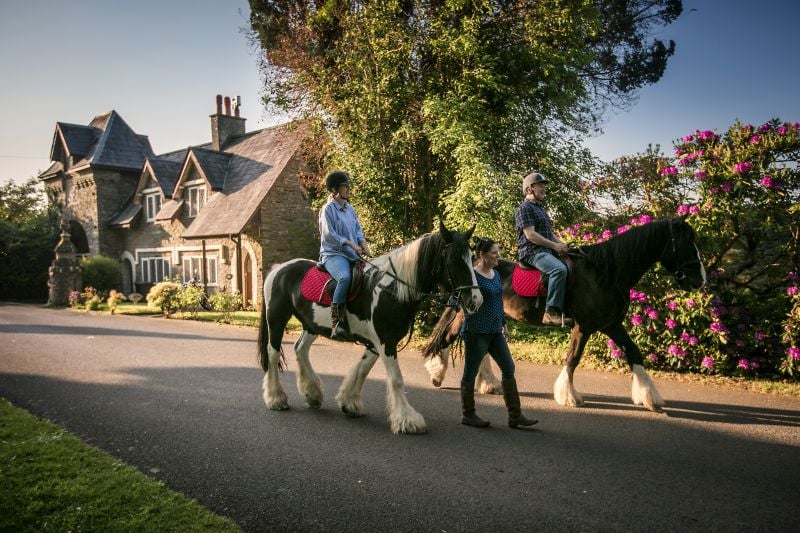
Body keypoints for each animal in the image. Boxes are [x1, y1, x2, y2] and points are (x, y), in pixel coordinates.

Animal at [256, 220, 482, 432]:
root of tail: (278, 269)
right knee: (273, 354)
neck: (393, 289)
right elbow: (396, 379)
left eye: (472, 258)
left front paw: (349, 402)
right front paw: (407, 420)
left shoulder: (377, 341)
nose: (476, 300)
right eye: (454, 260)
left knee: (300, 349)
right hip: (276, 320)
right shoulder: (385, 341)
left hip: (311, 325)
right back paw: (276, 398)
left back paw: (312, 394)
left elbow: (363, 368)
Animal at [424, 216, 708, 412]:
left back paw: (487, 383)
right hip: (469, 312)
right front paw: (567, 395)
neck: (605, 273)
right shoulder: (584, 326)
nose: (701, 280)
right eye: (687, 243)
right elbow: (573, 358)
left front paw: (649, 396)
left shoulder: (611, 324)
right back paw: (437, 374)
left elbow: (634, 353)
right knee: (450, 336)